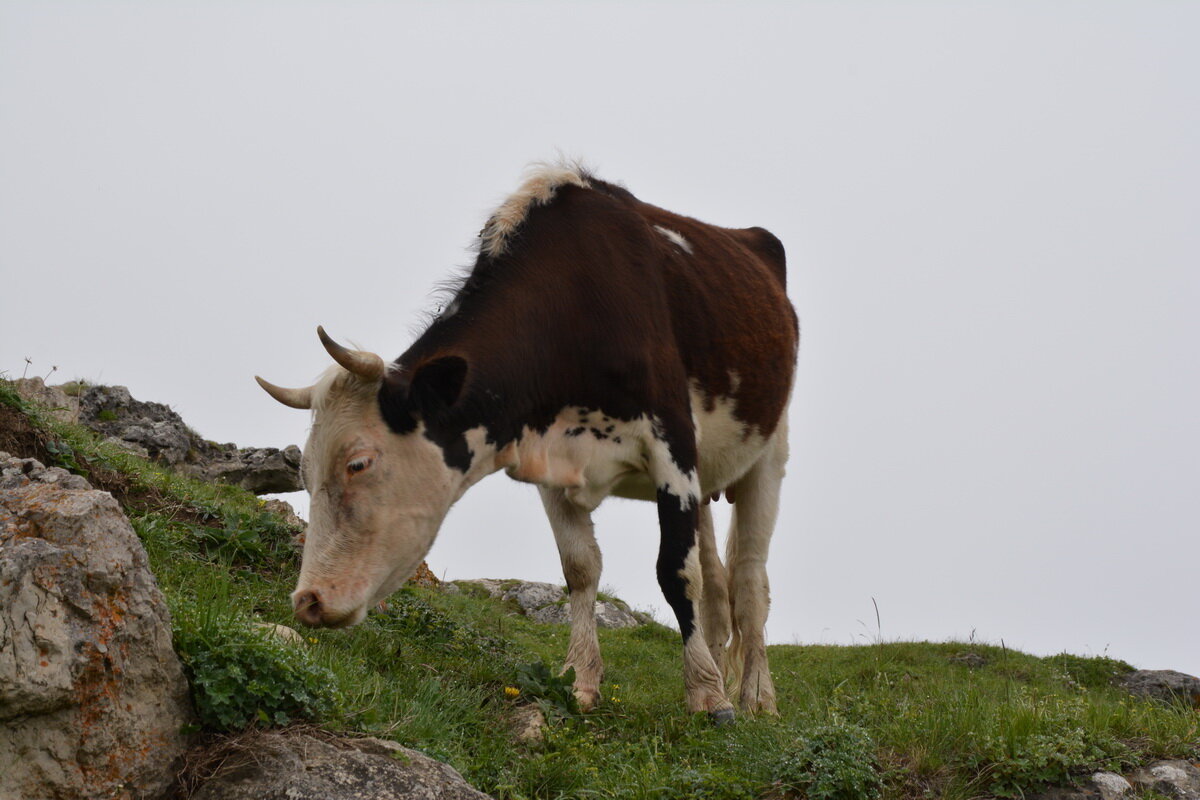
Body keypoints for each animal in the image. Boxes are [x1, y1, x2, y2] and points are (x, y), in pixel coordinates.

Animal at [255, 160, 796, 719]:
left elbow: (676, 571)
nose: (308, 601)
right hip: (710, 476)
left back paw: (756, 697)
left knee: (750, 579)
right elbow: (581, 567)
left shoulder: (673, 445)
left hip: (768, 454)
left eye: (359, 462)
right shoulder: (549, 459)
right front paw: (581, 679)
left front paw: (707, 696)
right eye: (303, 472)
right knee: (717, 582)